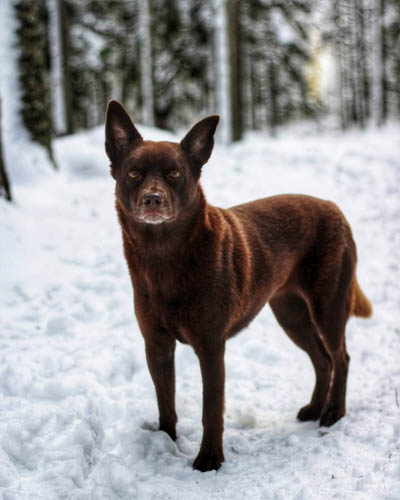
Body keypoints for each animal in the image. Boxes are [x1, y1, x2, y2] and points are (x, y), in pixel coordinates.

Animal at [104, 99, 372, 470]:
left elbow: (211, 409)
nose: (153, 199)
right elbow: (165, 402)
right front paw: (166, 442)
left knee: (341, 357)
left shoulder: (211, 346)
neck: (164, 258)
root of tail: (335, 208)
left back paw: (333, 413)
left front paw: (209, 460)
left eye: (174, 174)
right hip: (291, 314)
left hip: (327, 306)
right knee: (322, 360)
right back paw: (314, 409)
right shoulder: (156, 345)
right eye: (134, 173)